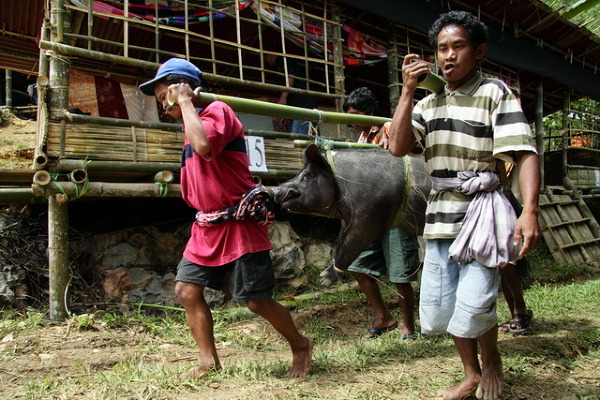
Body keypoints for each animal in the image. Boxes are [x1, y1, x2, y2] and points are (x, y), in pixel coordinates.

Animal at [272, 142, 432, 270]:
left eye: (306, 176)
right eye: (298, 173)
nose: (276, 189)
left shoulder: (370, 214)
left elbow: (354, 242)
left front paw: (326, 277)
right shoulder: (347, 218)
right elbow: (341, 239)